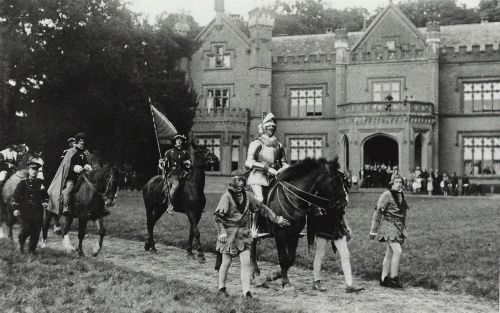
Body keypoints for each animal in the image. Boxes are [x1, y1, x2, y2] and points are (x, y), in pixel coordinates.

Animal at [250, 157, 348, 292]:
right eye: (334, 180)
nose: (344, 202)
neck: (291, 198)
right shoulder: (280, 234)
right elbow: (283, 258)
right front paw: (285, 283)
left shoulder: (294, 234)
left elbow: (290, 259)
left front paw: (275, 275)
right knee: (252, 246)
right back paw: (256, 274)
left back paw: (256, 274)